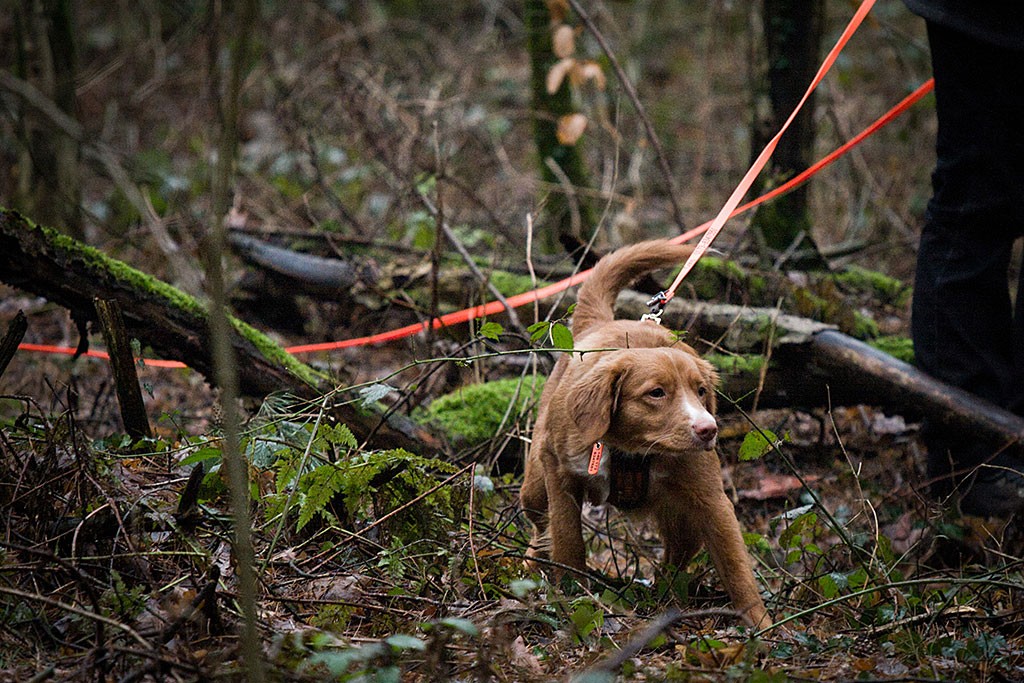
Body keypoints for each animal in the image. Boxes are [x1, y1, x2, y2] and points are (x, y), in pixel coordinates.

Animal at [520, 240, 770, 630]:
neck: (631, 449)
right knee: (539, 523)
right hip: (534, 484)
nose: (708, 430)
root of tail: (602, 322)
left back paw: (663, 595)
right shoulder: (560, 476)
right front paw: (574, 597)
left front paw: (765, 626)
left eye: (701, 391)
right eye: (656, 393)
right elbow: (567, 540)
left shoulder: (711, 499)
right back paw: (532, 564)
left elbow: (736, 566)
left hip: (681, 514)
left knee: (678, 552)